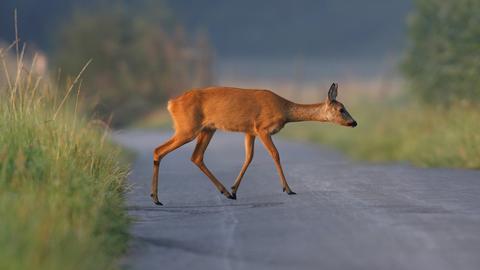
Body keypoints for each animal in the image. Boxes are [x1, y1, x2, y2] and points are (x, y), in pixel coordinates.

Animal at [150, 82, 356, 205]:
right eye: (341, 109)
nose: (354, 122)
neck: (285, 110)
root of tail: (171, 103)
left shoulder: (250, 131)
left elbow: (248, 157)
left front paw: (234, 190)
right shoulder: (263, 128)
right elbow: (275, 154)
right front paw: (288, 189)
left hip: (207, 129)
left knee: (196, 156)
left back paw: (224, 192)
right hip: (187, 128)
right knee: (159, 150)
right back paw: (155, 198)